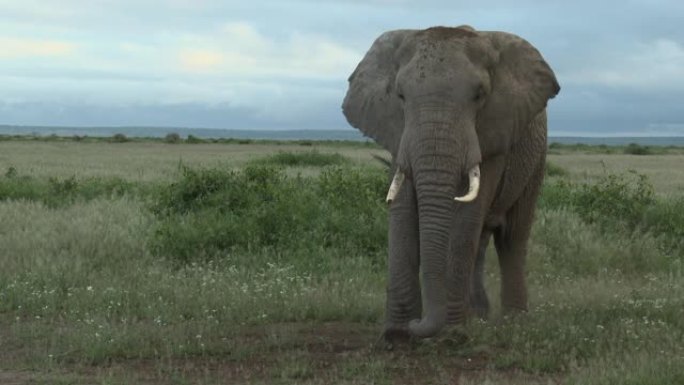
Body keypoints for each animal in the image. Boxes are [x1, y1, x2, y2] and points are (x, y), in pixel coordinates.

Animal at [342, 25, 560, 340]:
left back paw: (513, 323)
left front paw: (452, 336)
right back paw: (479, 316)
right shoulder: (397, 132)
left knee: (512, 237)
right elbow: (402, 209)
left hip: (536, 158)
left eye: (479, 95)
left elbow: (466, 219)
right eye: (400, 95)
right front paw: (396, 335)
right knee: (482, 240)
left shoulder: (493, 133)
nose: (418, 323)